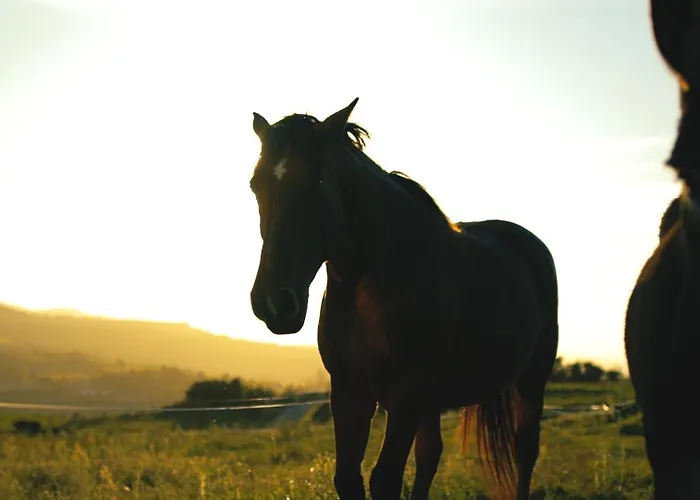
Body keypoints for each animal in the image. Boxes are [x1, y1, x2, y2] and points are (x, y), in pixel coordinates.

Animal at [248, 98, 559, 499]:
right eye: (255, 185)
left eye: (317, 179)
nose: (275, 302)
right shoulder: (349, 390)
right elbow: (348, 478)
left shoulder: (406, 393)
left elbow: (385, 479)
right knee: (430, 455)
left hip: (531, 381)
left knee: (524, 450)